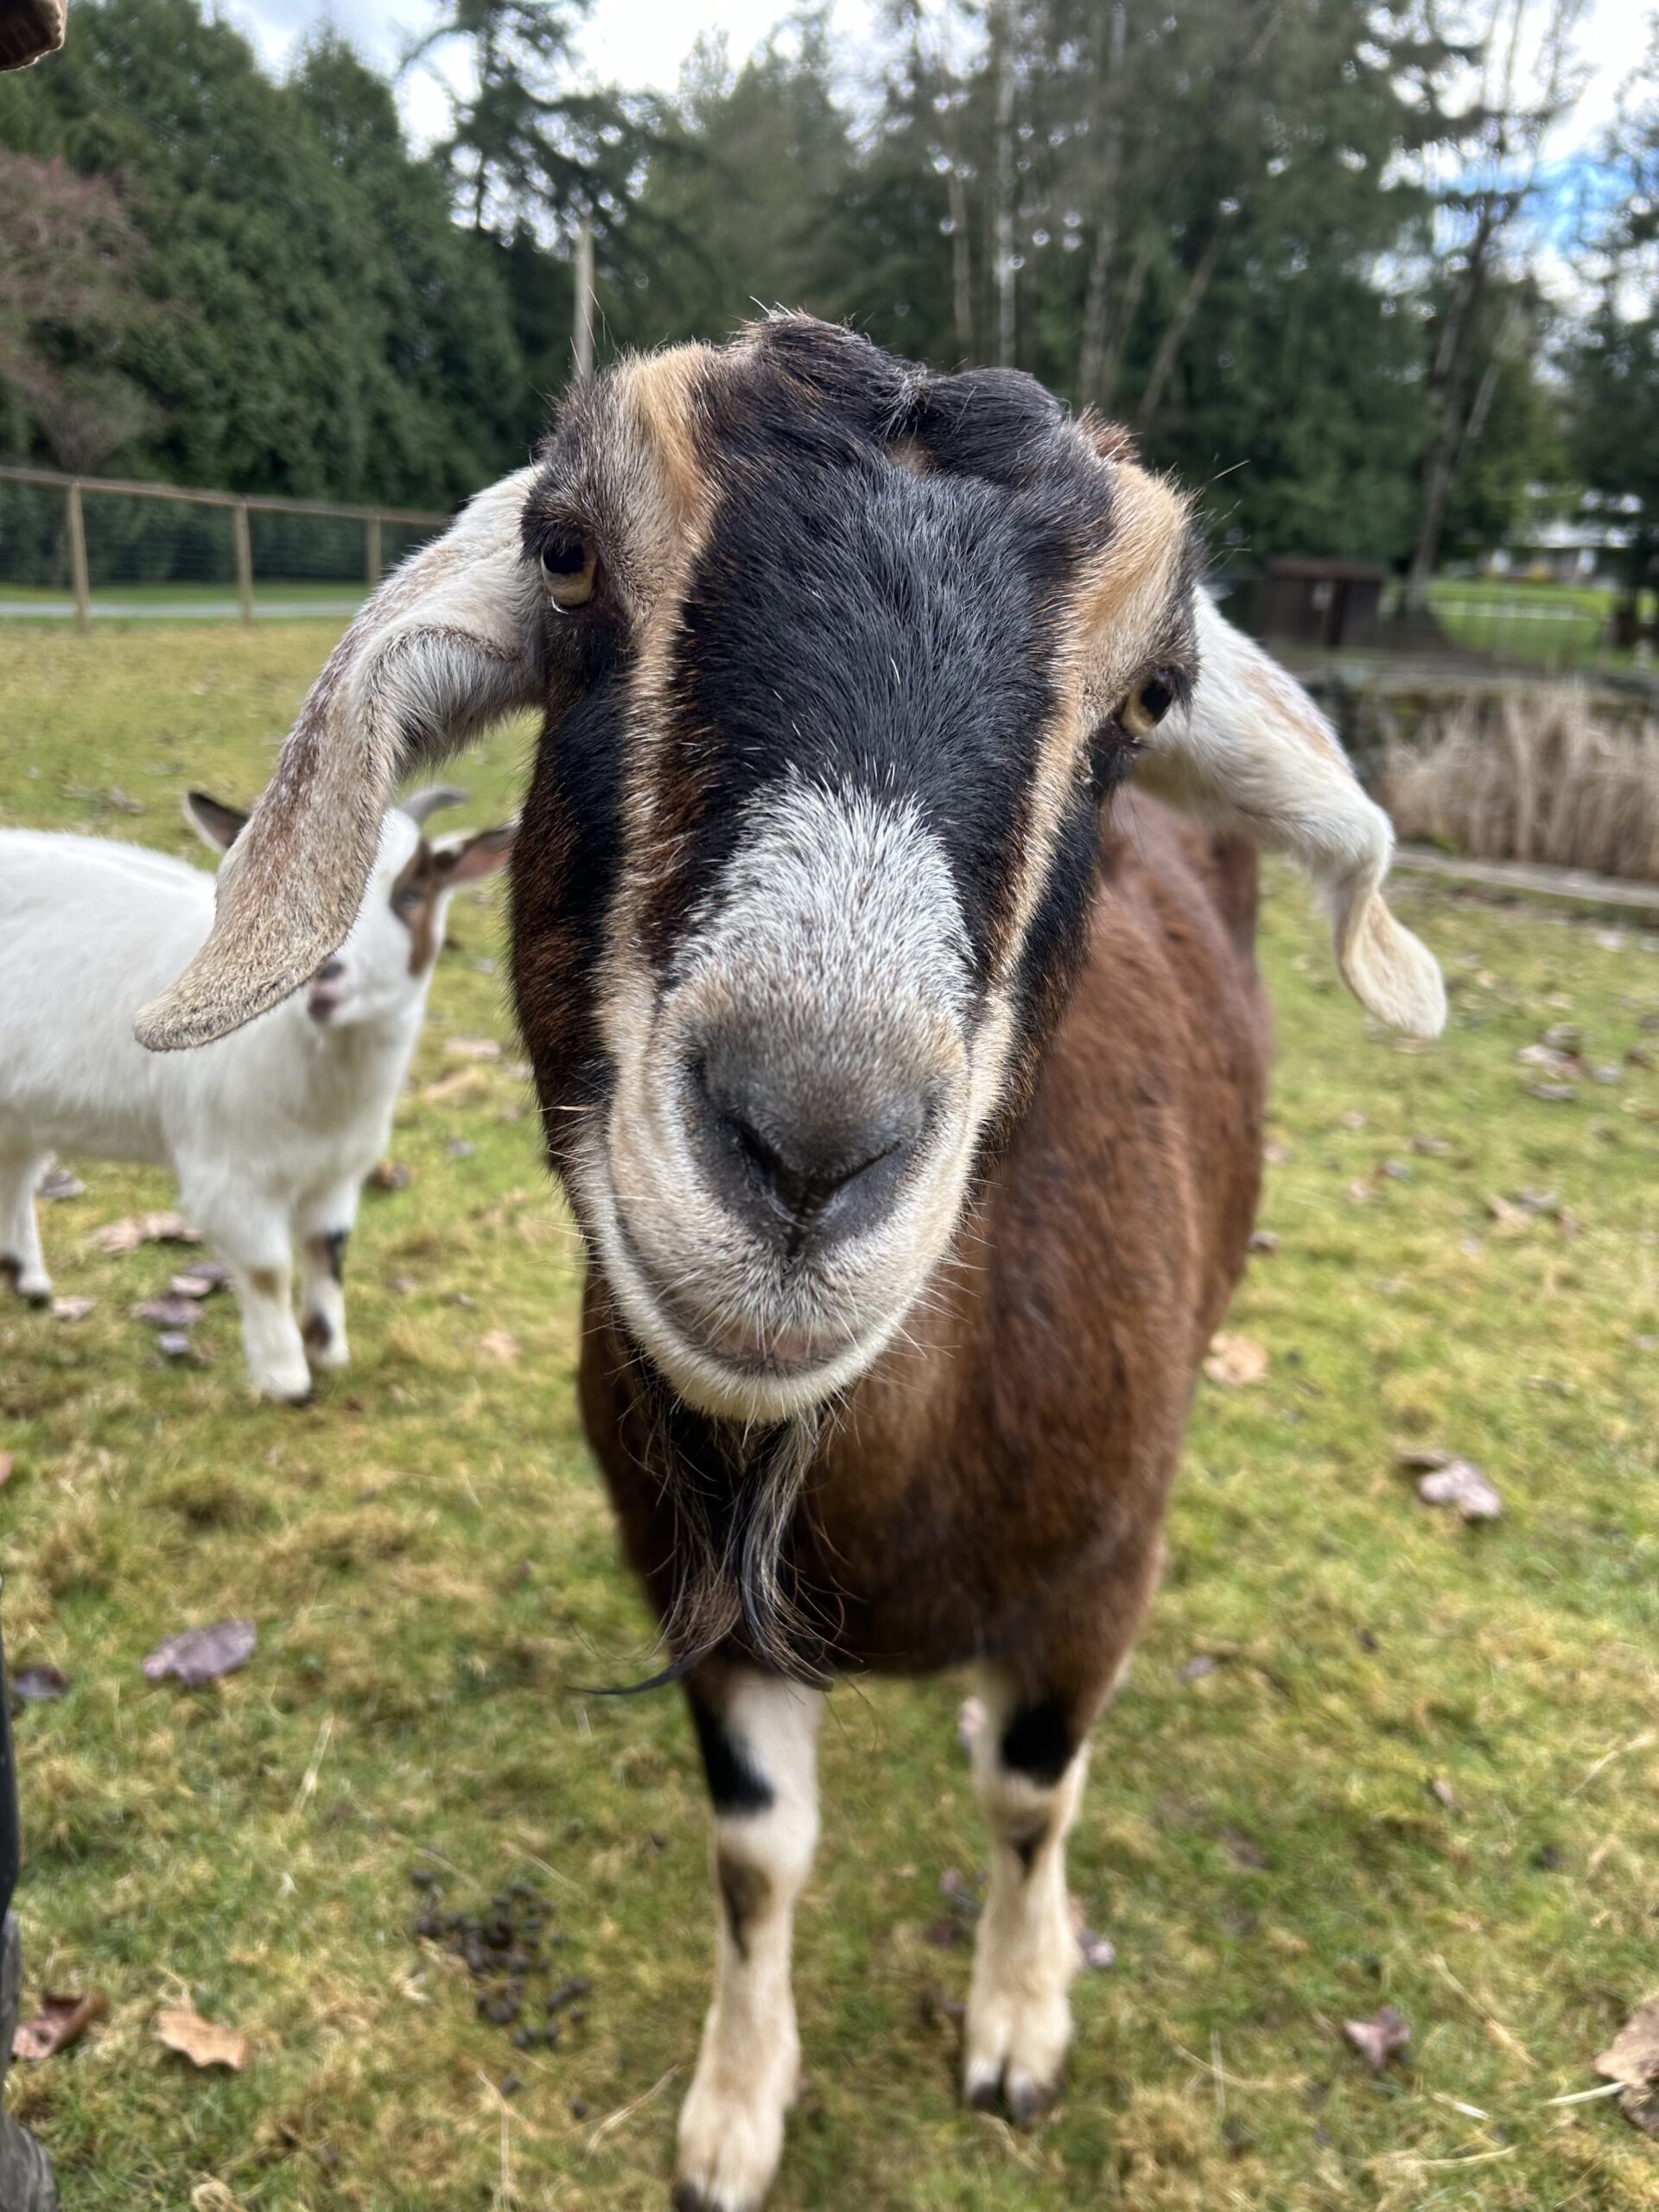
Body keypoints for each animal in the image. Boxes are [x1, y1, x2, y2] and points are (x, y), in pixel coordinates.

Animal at [1, 789, 512, 1400]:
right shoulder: (228, 1173)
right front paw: (286, 1380)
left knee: (14, 1173)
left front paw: (329, 1351)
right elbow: (268, 1271)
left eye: (411, 894)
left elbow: (328, 1250)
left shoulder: (338, 1172)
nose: (323, 973)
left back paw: (30, 1283)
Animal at [137, 318, 1444, 2209]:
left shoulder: (1105, 1558)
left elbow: (1036, 1794)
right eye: (569, 554)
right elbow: (757, 1850)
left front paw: (1016, 2027)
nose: (813, 1141)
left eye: (1151, 695)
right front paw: (734, 2111)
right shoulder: (705, 1607)